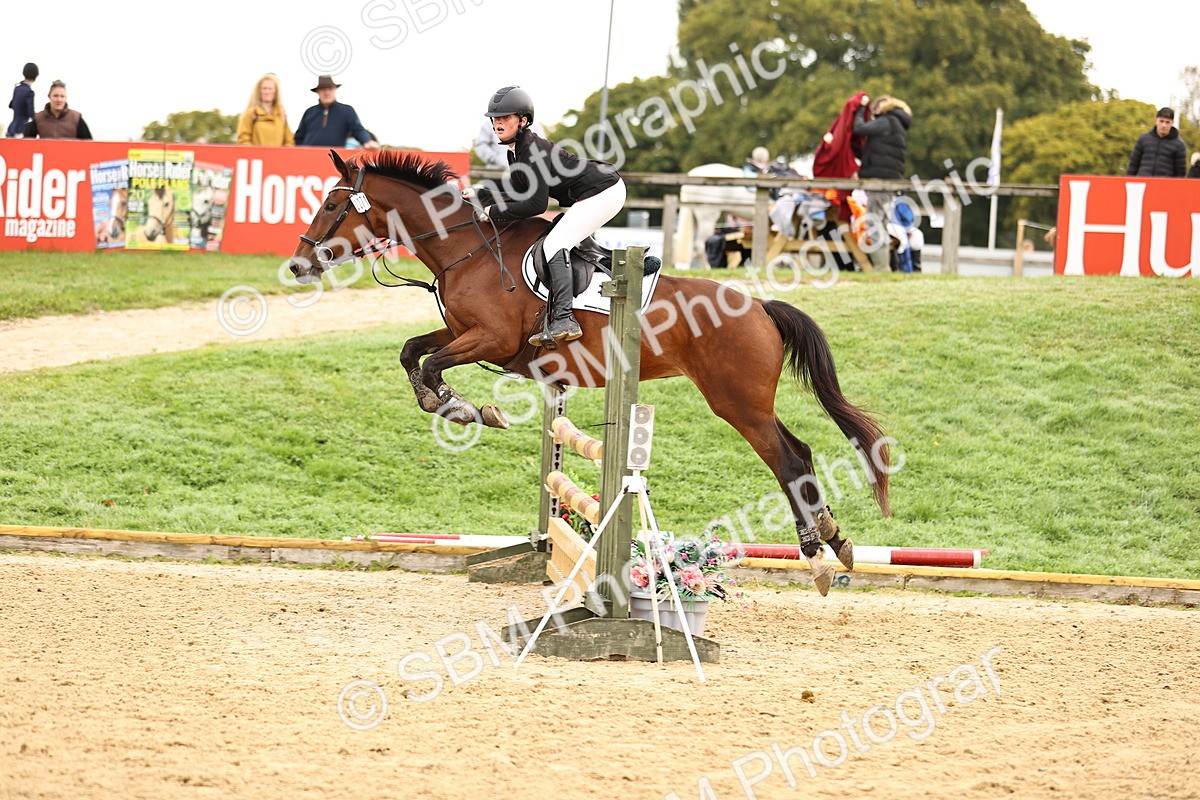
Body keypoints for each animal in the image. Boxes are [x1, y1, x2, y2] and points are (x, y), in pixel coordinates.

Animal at [287, 150, 891, 595]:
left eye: (333, 205)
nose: (297, 265)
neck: (465, 251)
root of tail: (761, 307)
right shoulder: (463, 334)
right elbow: (413, 352)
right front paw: (456, 405)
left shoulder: (491, 339)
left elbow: (431, 364)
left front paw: (461, 408)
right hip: (748, 401)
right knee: (802, 453)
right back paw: (834, 540)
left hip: (736, 403)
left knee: (786, 460)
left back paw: (816, 555)